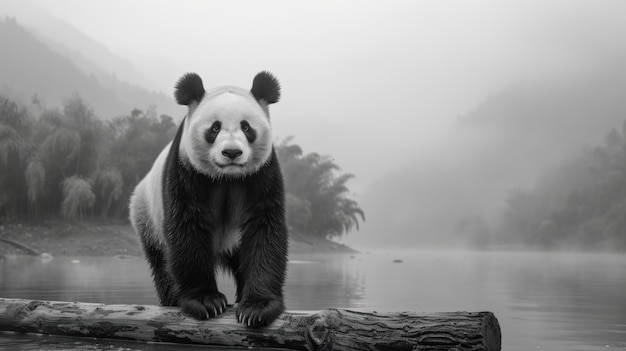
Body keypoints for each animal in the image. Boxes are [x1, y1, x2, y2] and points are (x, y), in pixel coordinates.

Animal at [130, 71, 288, 330]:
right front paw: (206, 302)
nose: (232, 152)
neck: (227, 177)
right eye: (215, 127)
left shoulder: (262, 174)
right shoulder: (186, 170)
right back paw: (172, 299)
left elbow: (264, 229)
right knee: (162, 263)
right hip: (146, 216)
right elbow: (187, 228)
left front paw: (257, 307)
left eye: (246, 127)